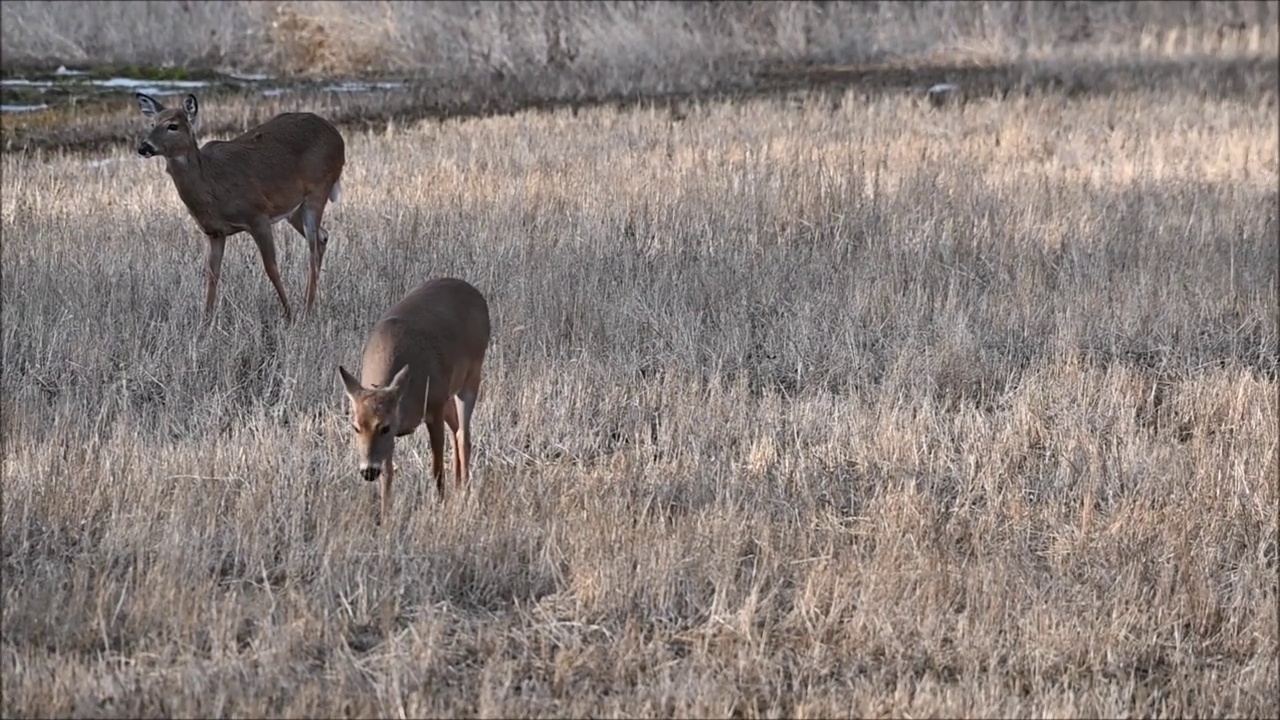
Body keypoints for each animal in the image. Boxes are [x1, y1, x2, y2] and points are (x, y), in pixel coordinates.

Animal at [135, 90, 345, 320]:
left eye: (172, 125)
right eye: (152, 123)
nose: (143, 147)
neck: (211, 184)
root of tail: (337, 136)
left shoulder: (258, 215)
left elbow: (271, 268)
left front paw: (289, 314)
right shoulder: (214, 232)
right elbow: (212, 275)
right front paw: (206, 320)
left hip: (318, 190)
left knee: (312, 248)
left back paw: (307, 309)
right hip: (293, 209)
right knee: (323, 236)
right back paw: (310, 303)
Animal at [337, 275, 491, 520]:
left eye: (385, 427)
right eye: (355, 427)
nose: (368, 471)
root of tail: (475, 293)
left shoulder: (433, 407)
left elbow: (436, 468)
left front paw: (441, 504)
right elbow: (388, 473)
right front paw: (385, 514)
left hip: (471, 375)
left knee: (463, 435)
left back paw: (464, 491)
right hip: (448, 391)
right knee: (456, 428)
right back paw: (459, 484)